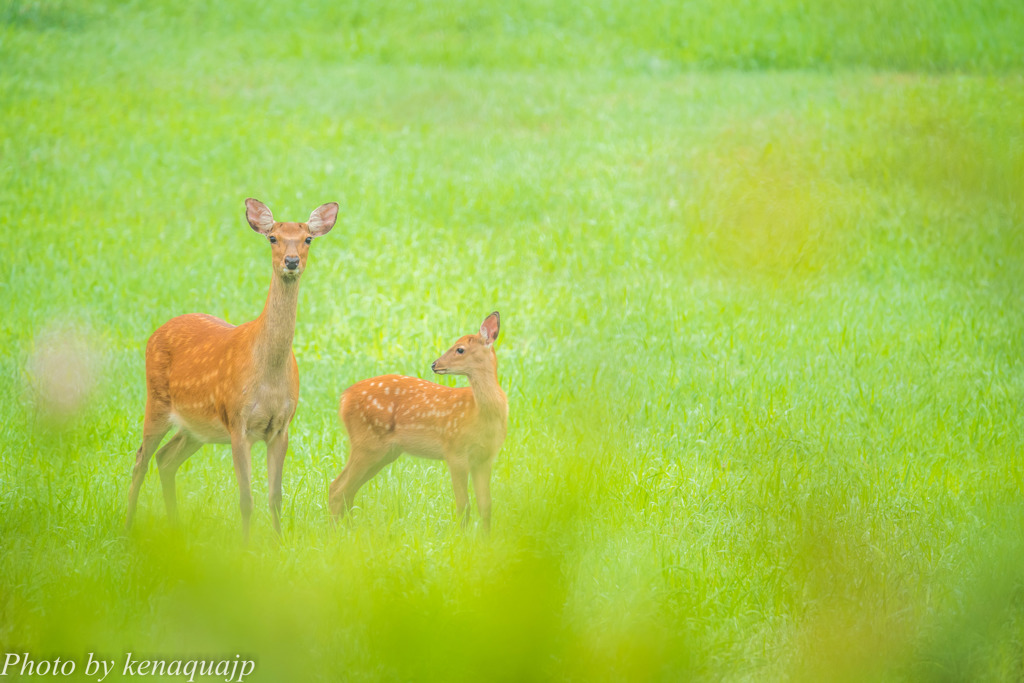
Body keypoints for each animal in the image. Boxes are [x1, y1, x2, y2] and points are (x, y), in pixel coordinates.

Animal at [124, 197, 335, 540]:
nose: (291, 262)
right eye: (273, 237)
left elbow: (275, 497)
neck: (269, 374)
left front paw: (279, 543)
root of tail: (156, 333)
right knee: (141, 459)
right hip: (156, 400)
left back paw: (174, 530)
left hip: (197, 427)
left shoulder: (282, 426)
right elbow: (246, 498)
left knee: (166, 458)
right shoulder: (239, 421)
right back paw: (128, 527)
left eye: (307, 239)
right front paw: (246, 546)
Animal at [331, 313, 507, 532]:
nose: (434, 364)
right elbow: (463, 505)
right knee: (337, 488)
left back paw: (348, 529)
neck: (479, 413)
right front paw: (461, 537)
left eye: (460, 349)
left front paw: (485, 538)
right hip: (366, 444)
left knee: (347, 490)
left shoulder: (485, 457)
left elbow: (486, 505)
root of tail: (344, 398)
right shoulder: (455, 451)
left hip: (384, 452)